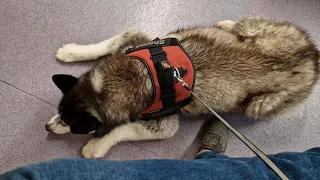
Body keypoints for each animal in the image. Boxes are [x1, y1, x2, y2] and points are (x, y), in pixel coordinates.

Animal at [45, 18, 320, 158]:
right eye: (58, 111)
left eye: (72, 125)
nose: (47, 127)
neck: (137, 77)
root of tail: (312, 56)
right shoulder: (133, 43)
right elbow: (107, 44)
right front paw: (73, 52)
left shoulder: (165, 123)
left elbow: (123, 130)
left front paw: (98, 145)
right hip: (259, 28)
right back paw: (226, 24)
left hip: (259, 106)